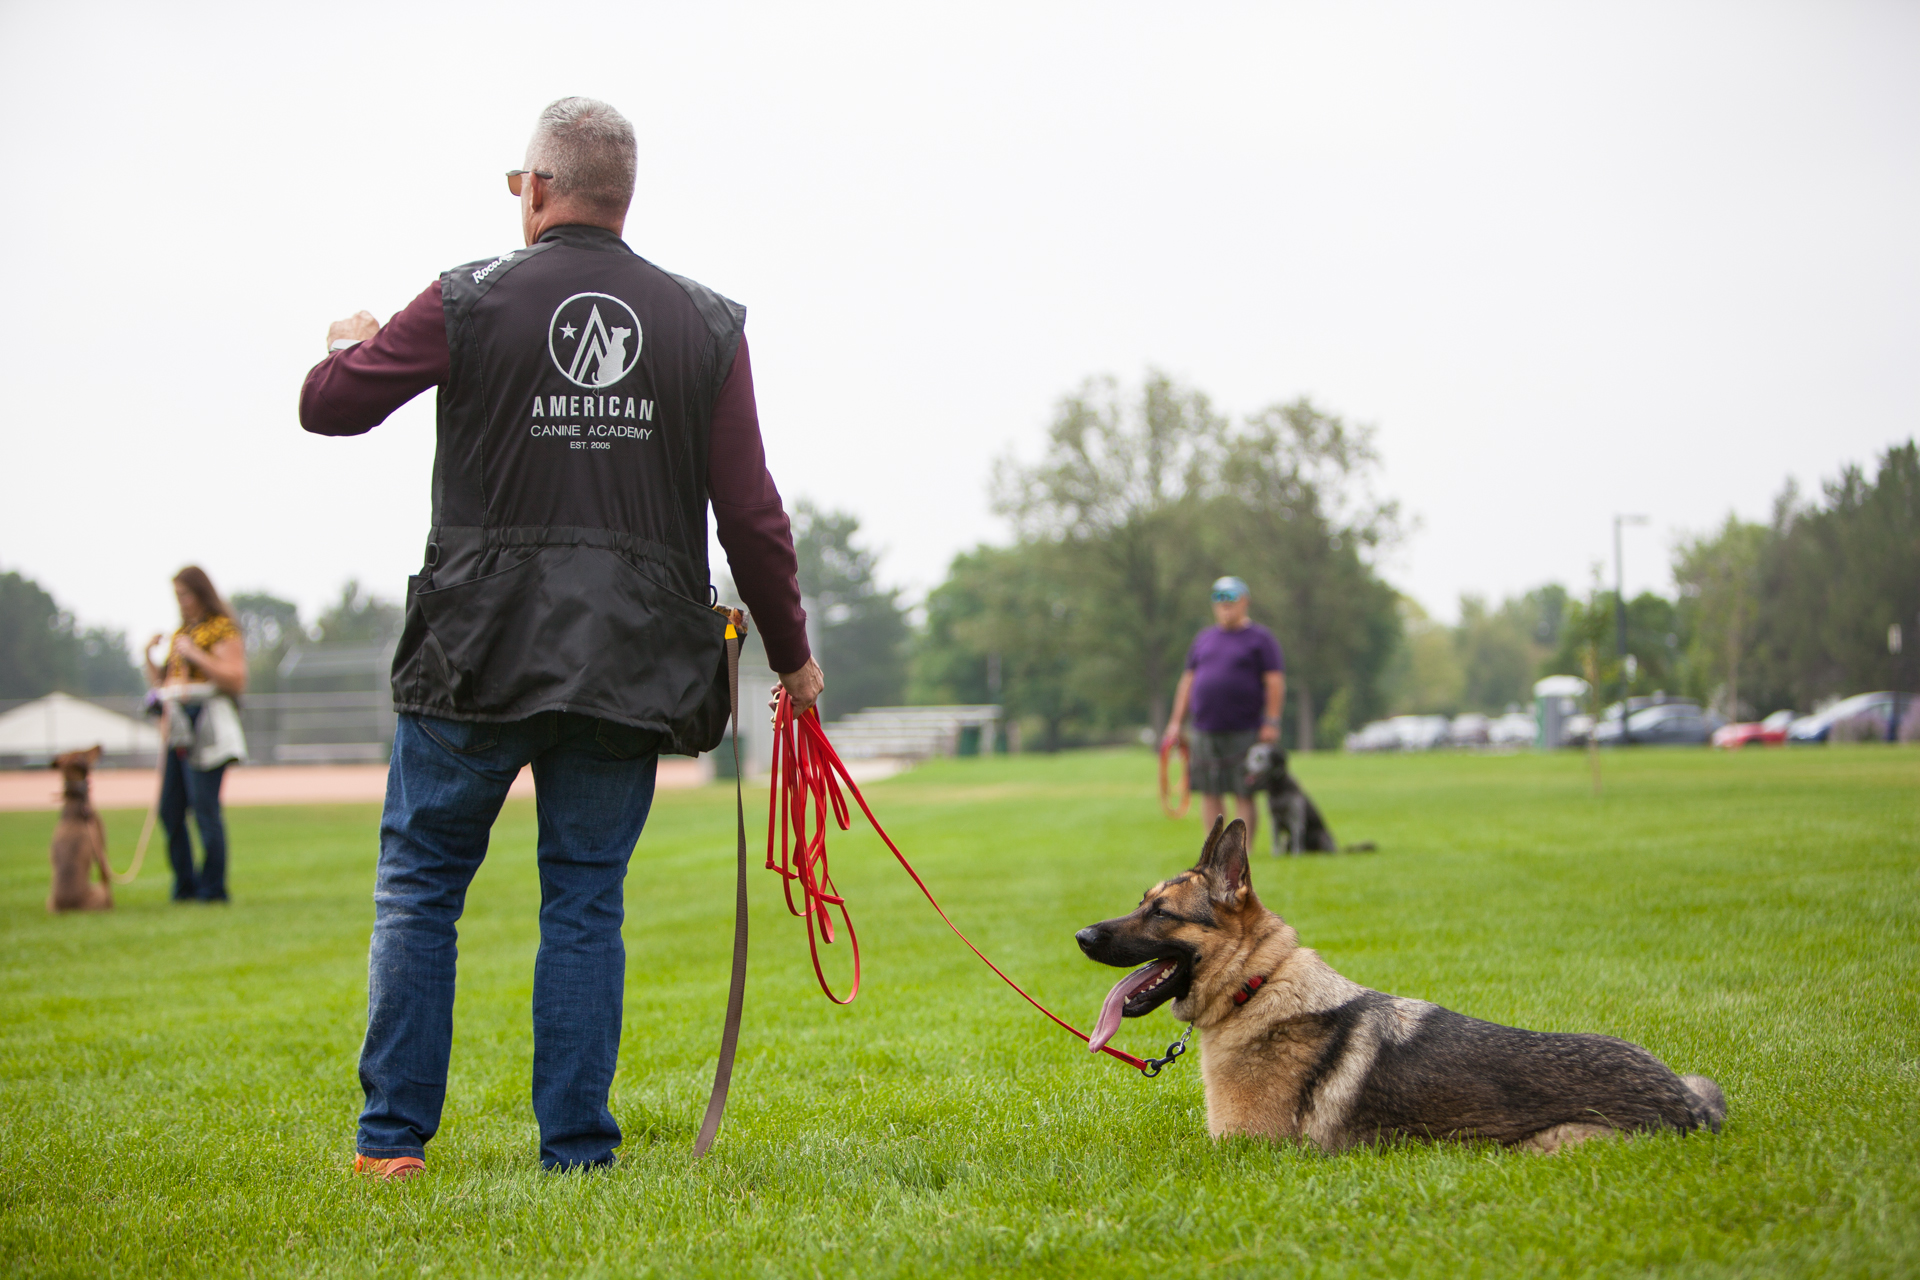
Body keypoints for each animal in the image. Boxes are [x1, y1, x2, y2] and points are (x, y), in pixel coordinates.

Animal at [48, 744, 112, 917]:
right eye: (86, 752)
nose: (100, 745)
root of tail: (68, 909)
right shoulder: (100, 848)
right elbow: (107, 876)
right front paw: (113, 907)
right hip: (98, 892)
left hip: (48, 900)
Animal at [1236, 744, 1374, 855]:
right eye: (1249, 755)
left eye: (1260, 757)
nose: (1244, 767)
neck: (1279, 788)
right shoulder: (1274, 819)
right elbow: (1275, 839)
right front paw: (1276, 855)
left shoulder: (1296, 818)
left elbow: (1297, 837)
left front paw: (1296, 855)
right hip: (1288, 840)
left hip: (1321, 836)